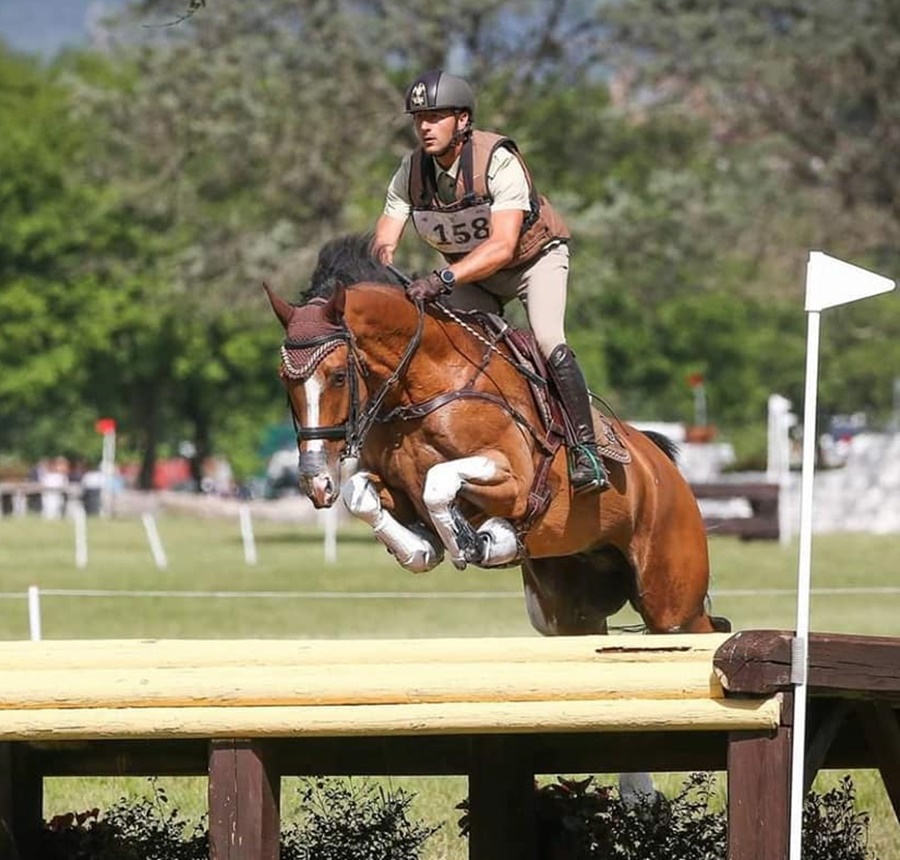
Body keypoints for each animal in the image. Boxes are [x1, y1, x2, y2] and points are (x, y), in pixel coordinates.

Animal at [264, 235, 728, 640]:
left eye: (338, 376)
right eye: (284, 380)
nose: (315, 481)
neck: (423, 387)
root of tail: (664, 469)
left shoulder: (516, 483)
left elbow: (439, 483)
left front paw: (474, 542)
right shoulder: (398, 488)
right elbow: (360, 493)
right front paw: (421, 547)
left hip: (672, 601)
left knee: (697, 626)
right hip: (568, 609)